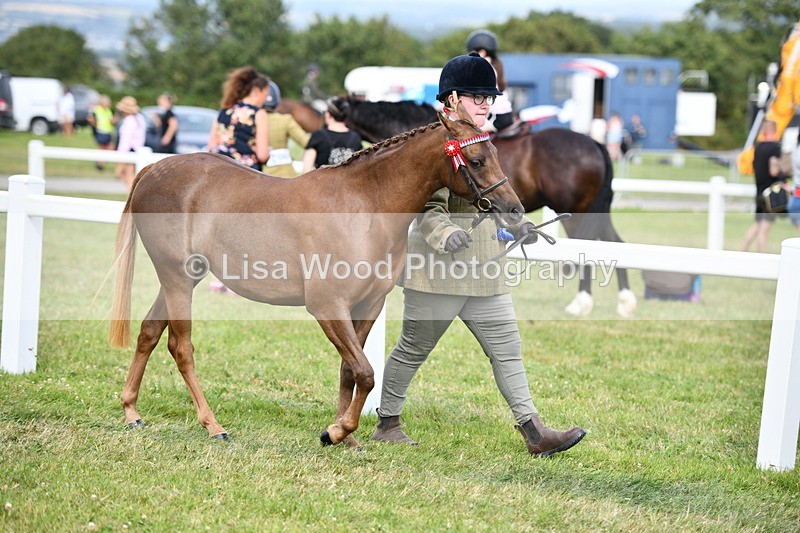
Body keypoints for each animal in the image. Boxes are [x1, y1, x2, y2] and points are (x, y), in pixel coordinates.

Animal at [108, 108, 525, 448]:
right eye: (476, 159)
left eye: (496, 154)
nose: (515, 210)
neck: (364, 206)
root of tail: (153, 170)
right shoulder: (327, 306)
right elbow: (365, 372)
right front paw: (337, 431)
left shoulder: (368, 304)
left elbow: (350, 370)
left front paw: (345, 435)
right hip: (177, 277)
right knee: (181, 348)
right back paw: (213, 425)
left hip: (183, 278)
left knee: (148, 331)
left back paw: (131, 411)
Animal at [316, 96, 636, 318]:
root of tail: (594, 144)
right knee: (614, 243)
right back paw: (624, 302)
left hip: (577, 212)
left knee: (590, 247)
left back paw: (582, 303)